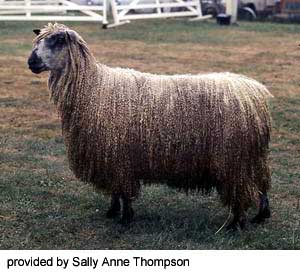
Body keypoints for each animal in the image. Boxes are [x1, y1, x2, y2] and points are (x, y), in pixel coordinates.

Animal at [27, 22, 272, 227]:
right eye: (38, 41)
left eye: (56, 41)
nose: (31, 62)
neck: (93, 86)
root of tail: (255, 92)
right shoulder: (109, 157)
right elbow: (116, 190)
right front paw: (112, 211)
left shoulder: (119, 156)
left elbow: (124, 190)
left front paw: (125, 218)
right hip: (253, 157)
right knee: (262, 185)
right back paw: (261, 216)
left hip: (234, 158)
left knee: (242, 190)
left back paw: (235, 224)